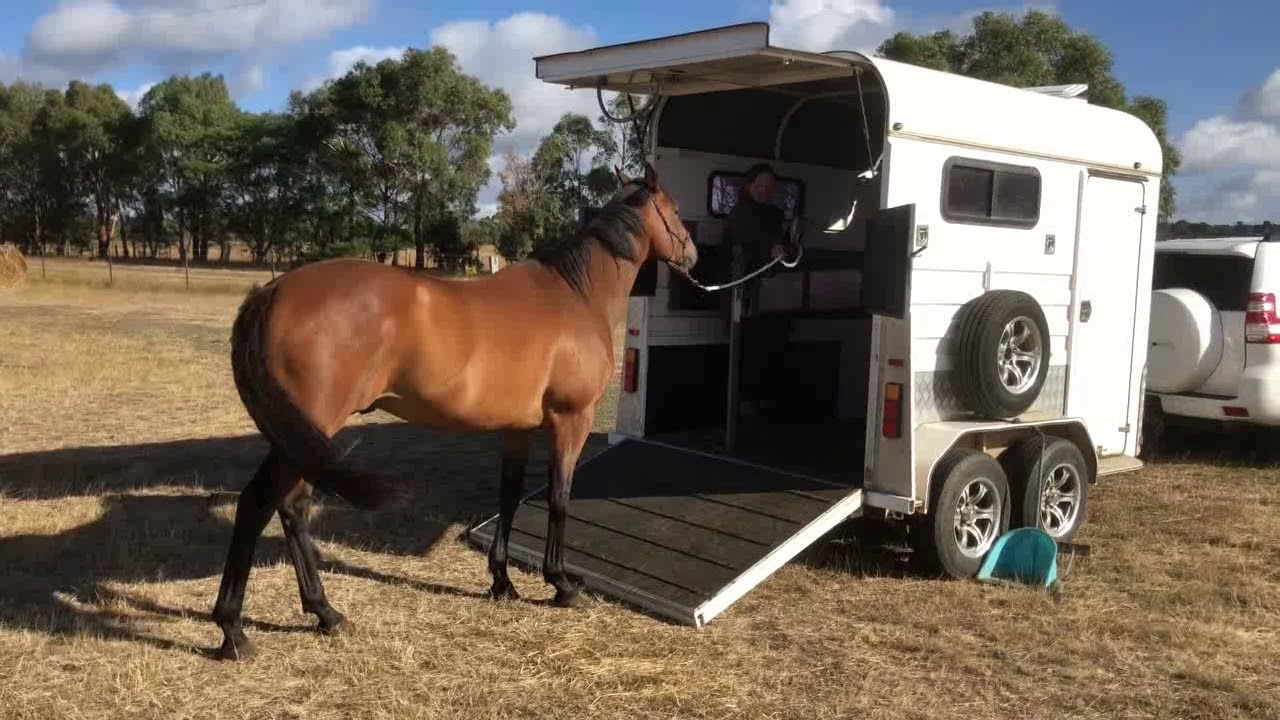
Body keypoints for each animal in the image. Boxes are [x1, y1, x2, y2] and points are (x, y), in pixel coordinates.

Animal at [211, 161, 697, 660]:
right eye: (677, 211)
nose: (693, 256)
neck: (576, 295)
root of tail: (272, 291)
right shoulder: (570, 419)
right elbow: (559, 498)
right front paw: (561, 584)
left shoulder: (518, 427)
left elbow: (508, 495)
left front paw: (502, 583)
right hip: (312, 426)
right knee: (263, 504)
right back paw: (236, 630)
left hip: (300, 436)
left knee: (286, 506)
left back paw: (322, 615)